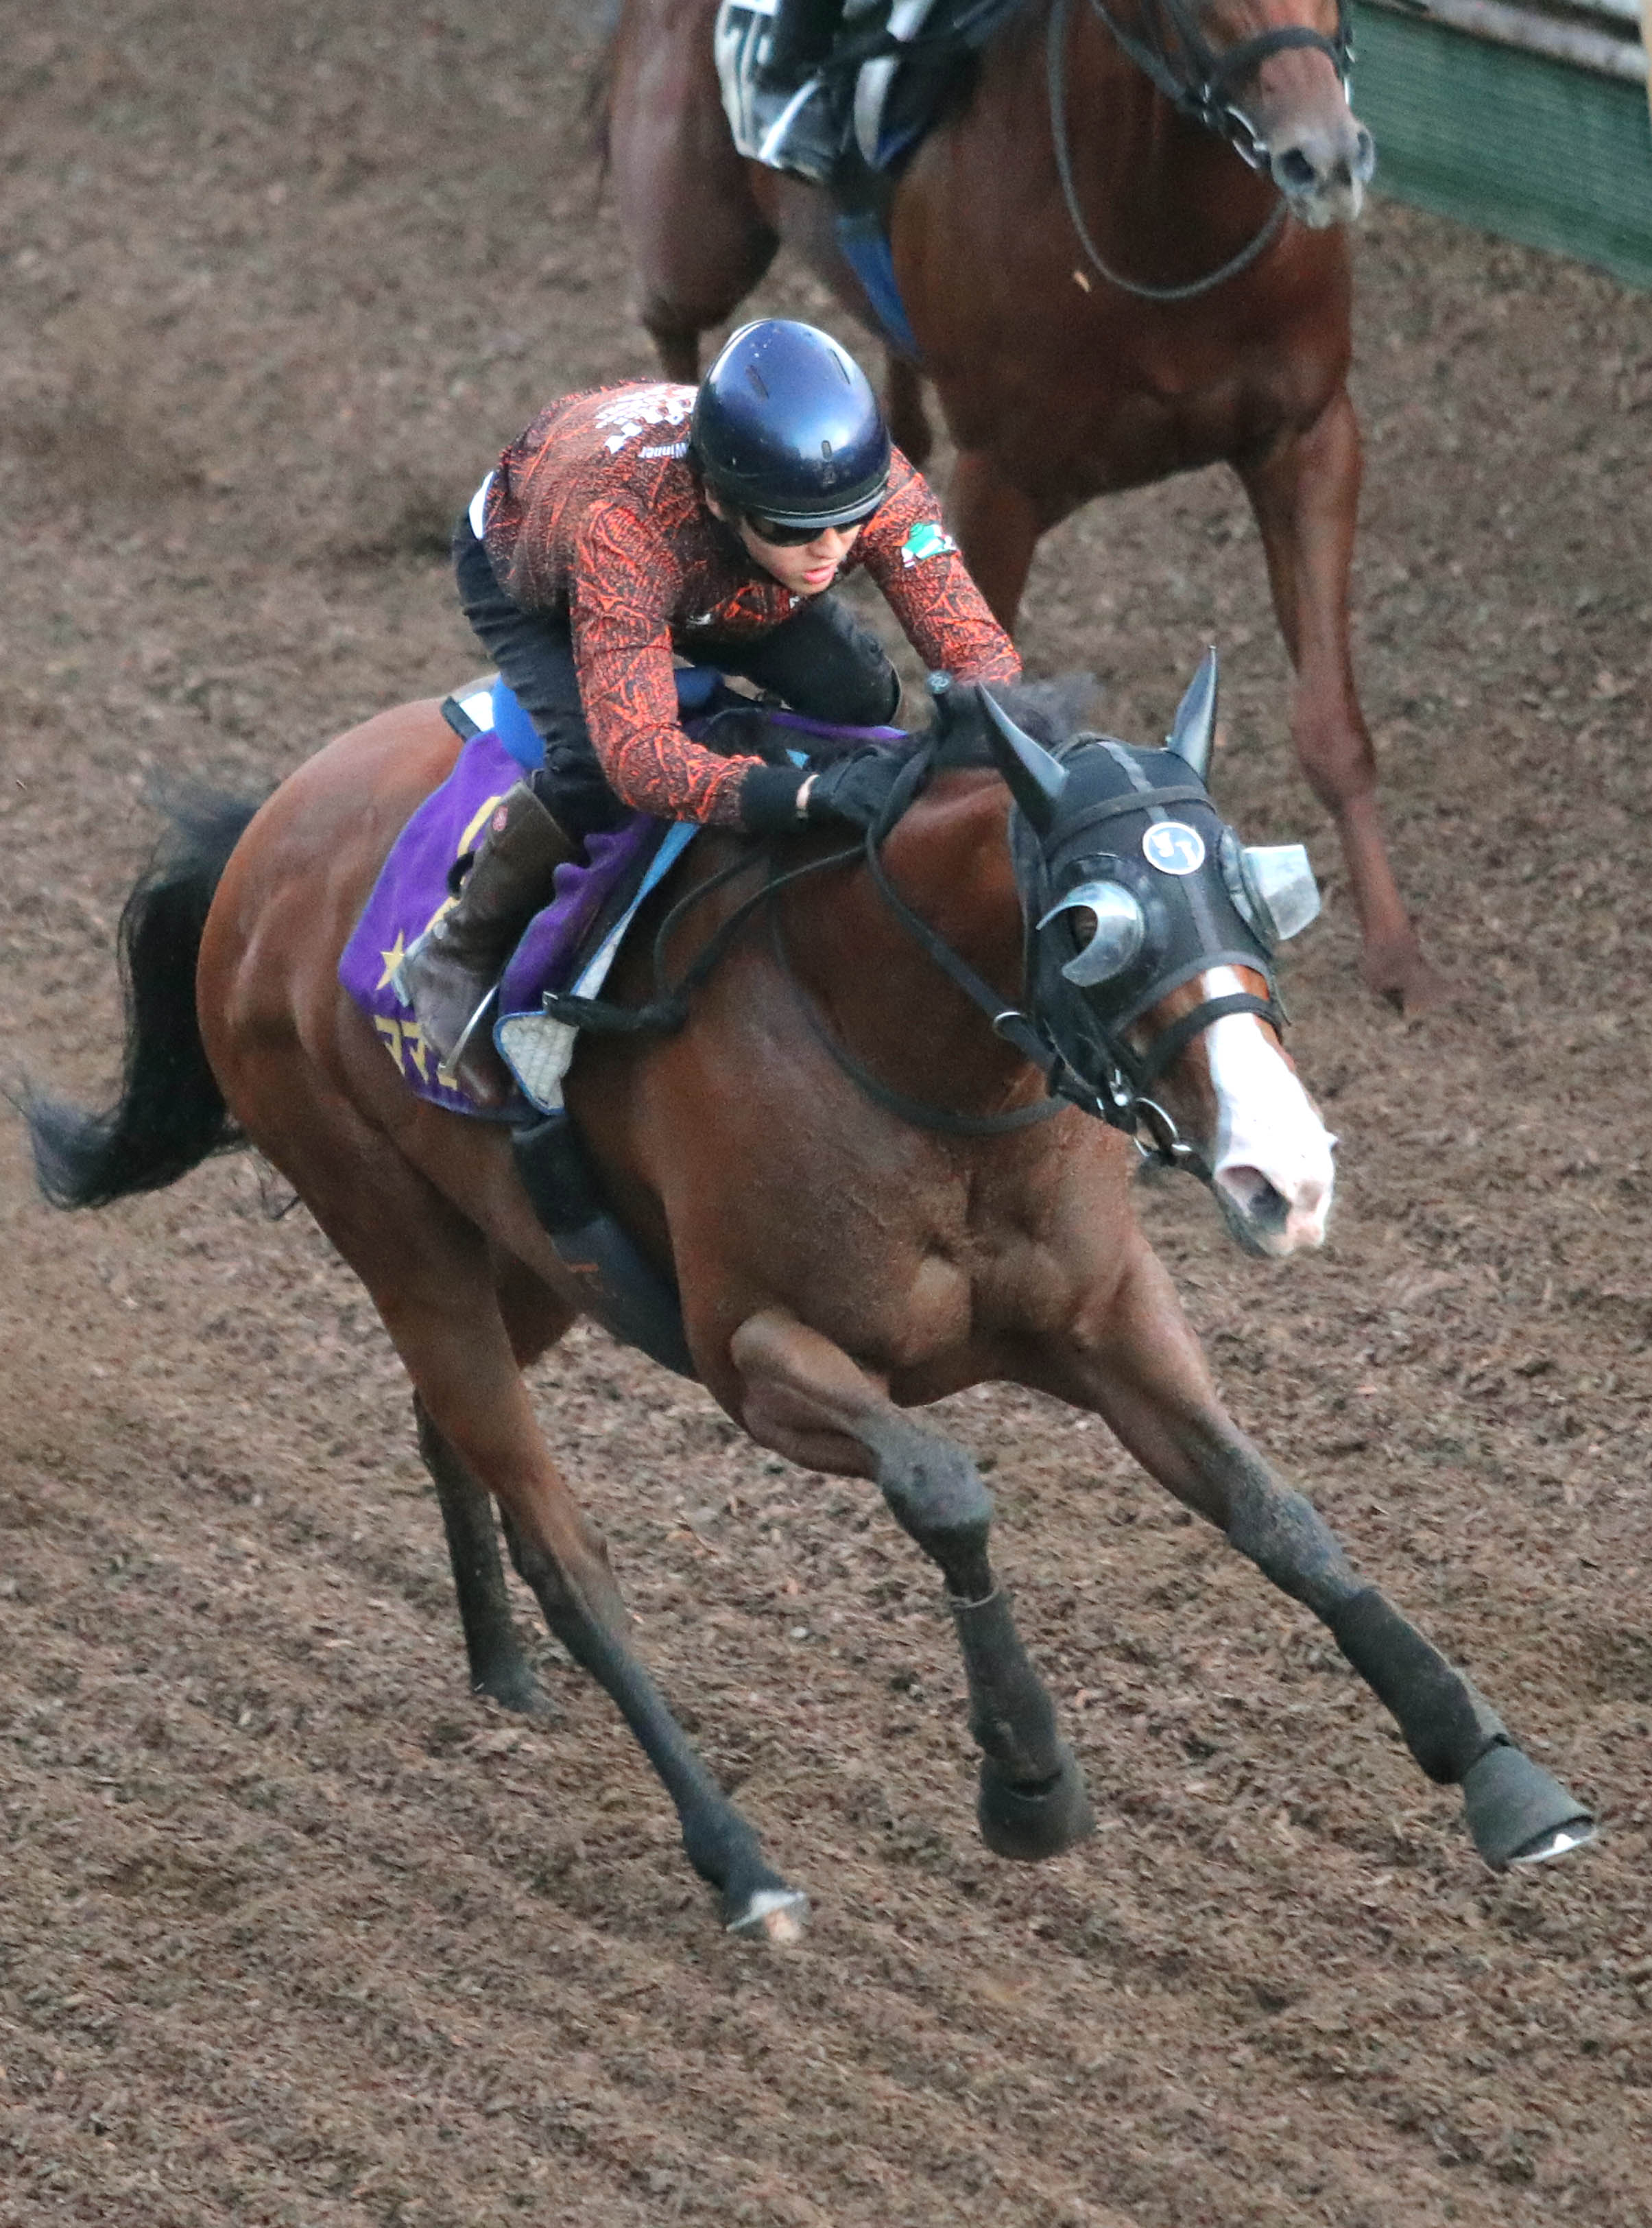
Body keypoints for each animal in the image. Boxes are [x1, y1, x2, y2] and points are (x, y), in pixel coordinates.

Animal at [23, 669, 1592, 1940]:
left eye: (1259, 888)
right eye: (1090, 923)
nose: (1286, 1174)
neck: (910, 1050)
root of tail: (266, 834)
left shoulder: (1103, 1314)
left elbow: (1275, 1508)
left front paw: (1500, 1774)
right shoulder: (754, 1356)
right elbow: (945, 1484)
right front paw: (1027, 1779)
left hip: (524, 1259)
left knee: (444, 1433)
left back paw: (502, 1669)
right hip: (396, 1233)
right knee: (566, 1548)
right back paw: (738, 1861)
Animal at [605, 0, 1446, 1013]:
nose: (1321, 158)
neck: (1161, 239)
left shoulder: (1309, 438)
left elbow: (1331, 724)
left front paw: (1398, 955)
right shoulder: (1000, 485)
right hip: (699, 240)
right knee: (673, 328)